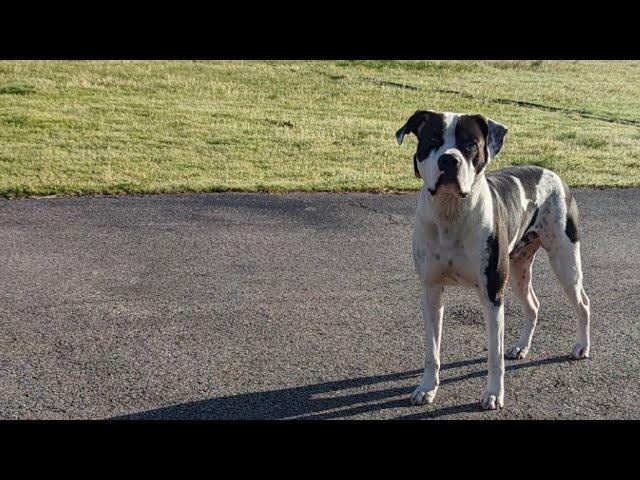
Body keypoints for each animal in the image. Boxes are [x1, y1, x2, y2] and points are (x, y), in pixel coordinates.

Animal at [398, 110, 592, 410]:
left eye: (470, 144)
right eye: (432, 140)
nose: (449, 159)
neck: (450, 212)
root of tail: (552, 173)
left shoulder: (492, 295)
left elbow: (494, 354)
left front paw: (493, 394)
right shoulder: (430, 291)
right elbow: (432, 350)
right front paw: (427, 388)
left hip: (565, 260)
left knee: (583, 302)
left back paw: (581, 347)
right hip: (519, 269)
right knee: (533, 305)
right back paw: (521, 347)